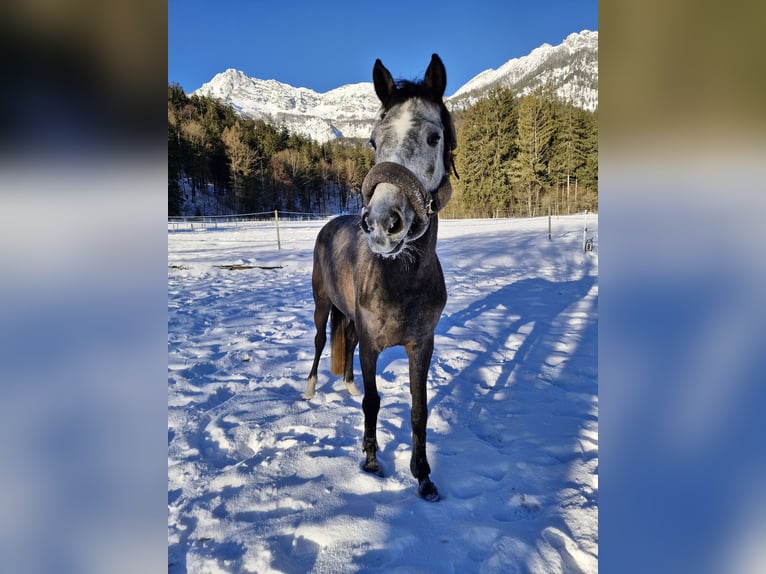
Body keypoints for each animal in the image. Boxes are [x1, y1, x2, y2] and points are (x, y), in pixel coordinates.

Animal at [303, 54, 457, 502]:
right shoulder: (373, 345)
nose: (383, 224)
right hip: (322, 305)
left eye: (434, 137)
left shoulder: (421, 345)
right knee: (320, 342)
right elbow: (373, 402)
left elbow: (419, 410)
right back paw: (310, 389)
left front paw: (423, 476)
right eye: (373, 141)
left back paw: (347, 385)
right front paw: (371, 461)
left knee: (346, 343)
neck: (402, 279)